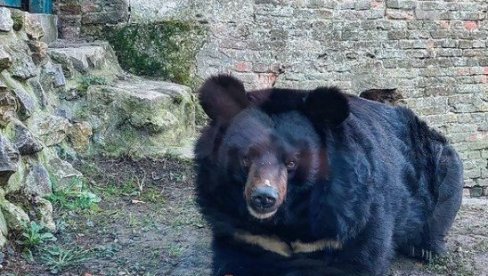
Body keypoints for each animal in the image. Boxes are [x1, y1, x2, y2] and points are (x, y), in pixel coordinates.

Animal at [193, 74, 462, 274]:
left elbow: (360, 258)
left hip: (442, 170)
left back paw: (424, 248)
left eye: (292, 162)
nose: (263, 198)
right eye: (246, 157)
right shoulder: (238, 227)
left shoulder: (353, 211)